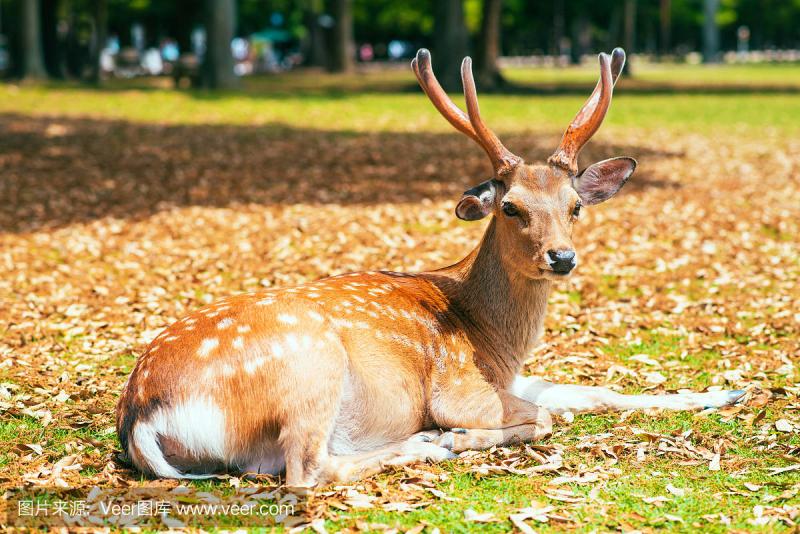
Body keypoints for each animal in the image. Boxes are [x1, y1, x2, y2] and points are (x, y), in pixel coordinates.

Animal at [116, 48, 745, 486]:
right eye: (511, 207)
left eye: (575, 206)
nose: (562, 257)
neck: (493, 336)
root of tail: (141, 415)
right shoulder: (459, 386)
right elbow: (545, 417)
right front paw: (461, 434)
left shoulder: (508, 376)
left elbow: (593, 392)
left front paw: (725, 393)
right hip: (310, 366)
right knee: (306, 470)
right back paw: (430, 444)